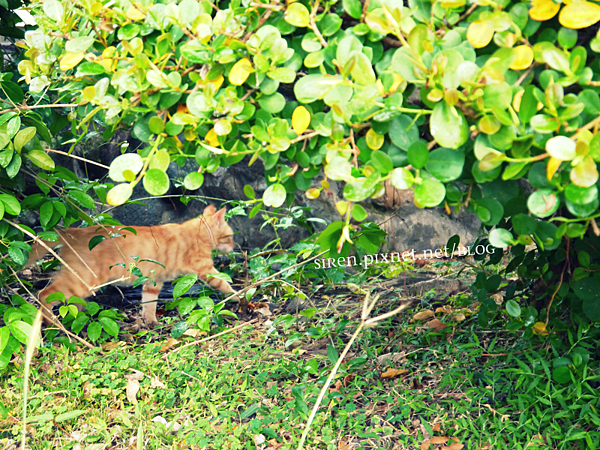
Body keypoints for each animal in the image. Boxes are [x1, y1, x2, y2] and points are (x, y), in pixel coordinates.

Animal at [25, 205, 238, 326]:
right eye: (230, 236)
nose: (235, 246)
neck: (195, 231)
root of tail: (70, 231)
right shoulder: (206, 270)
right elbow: (226, 284)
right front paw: (239, 296)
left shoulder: (153, 281)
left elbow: (149, 304)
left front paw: (151, 322)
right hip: (85, 280)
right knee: (44, 294)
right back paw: (54, 324)